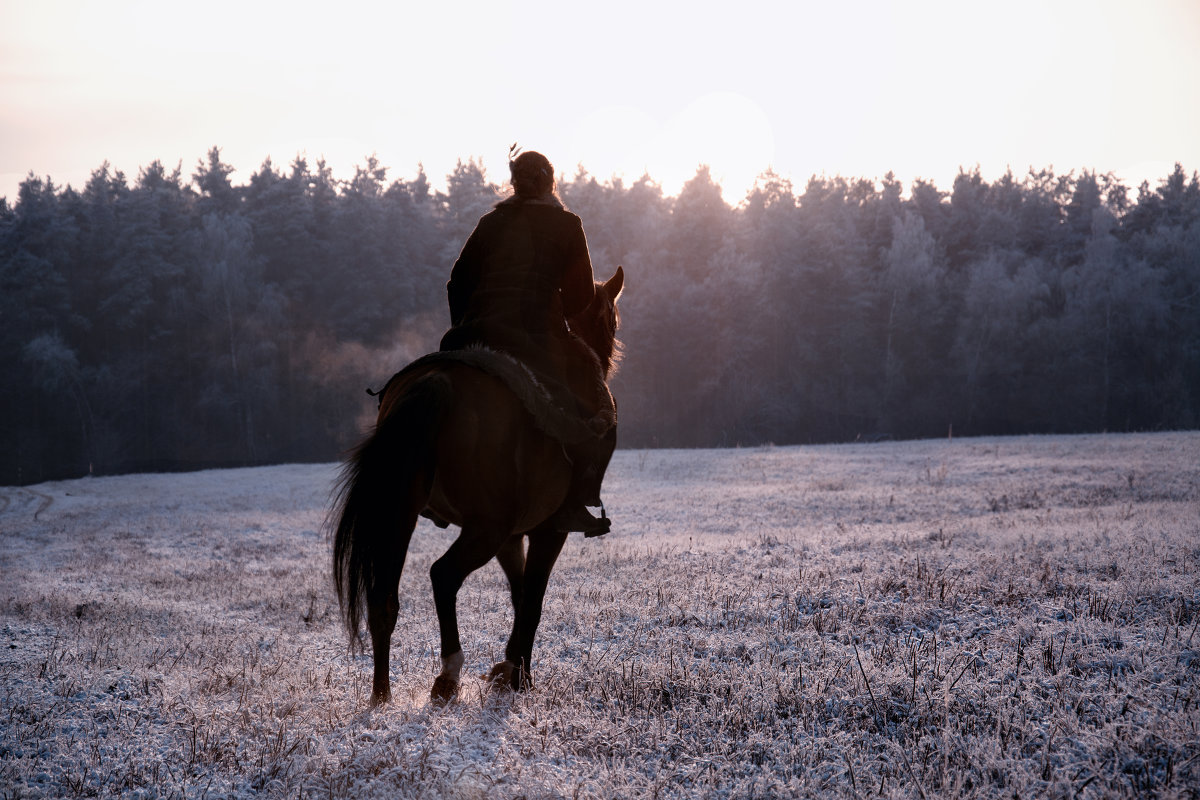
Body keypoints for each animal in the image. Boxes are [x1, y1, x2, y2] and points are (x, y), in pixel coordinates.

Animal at [331, 266, 624, 705]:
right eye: (611, 319)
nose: (609, 361)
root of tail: (437, 382)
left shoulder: (512, 537)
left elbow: (519, 594)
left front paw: (510, 667)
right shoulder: (546, 530)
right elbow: (532, 599)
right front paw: (518, 676)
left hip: (403, 515)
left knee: (384, 600)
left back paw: (380, 696)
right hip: (485, 529)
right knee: (442, 576)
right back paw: (448, 675)